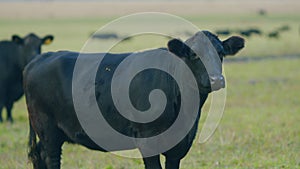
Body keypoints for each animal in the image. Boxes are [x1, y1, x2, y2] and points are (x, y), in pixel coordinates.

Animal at [23, 30, 244, 169]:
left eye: (221, 53)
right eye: (194, 55)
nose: (217, 80)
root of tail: (38, 59)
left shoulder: (179, 145)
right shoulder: (147, 140)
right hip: (48, 130)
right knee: (50, 158)